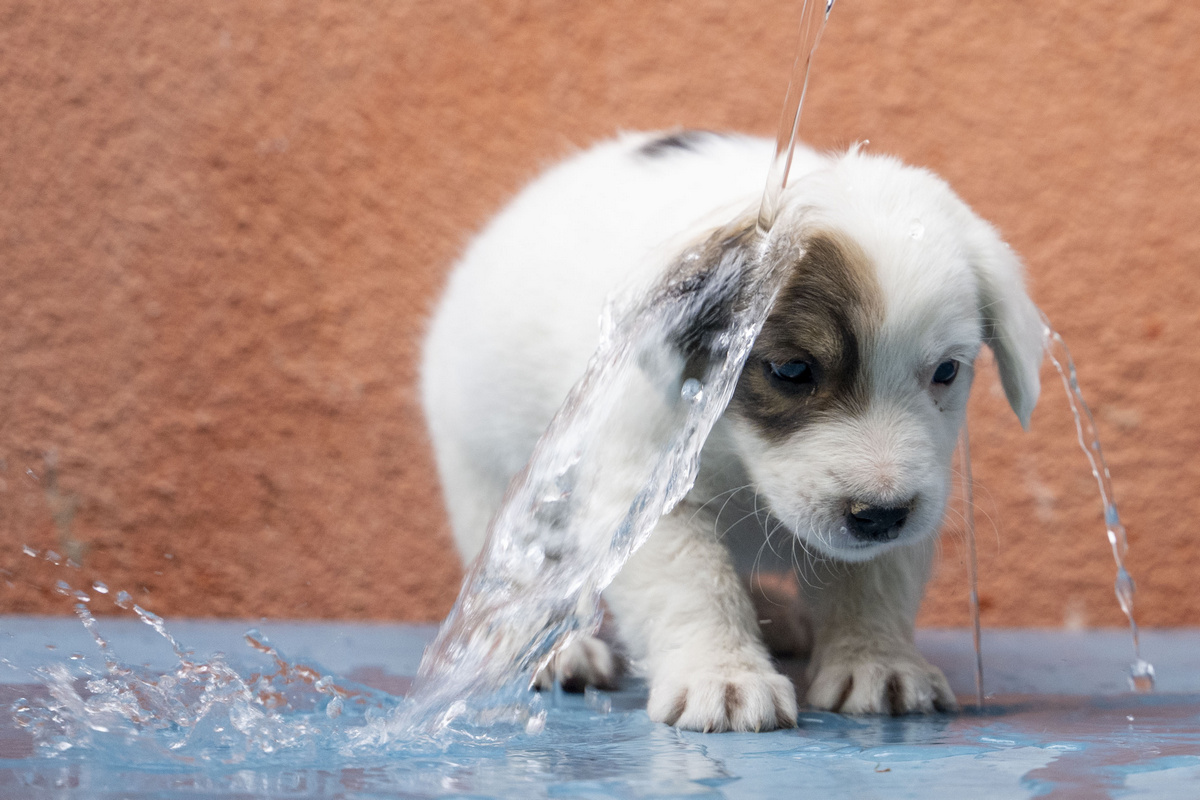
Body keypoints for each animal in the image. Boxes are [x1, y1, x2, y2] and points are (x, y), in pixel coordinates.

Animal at [420, 130, 1041, 734]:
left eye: (947, 371)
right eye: (791, 370)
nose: (882, 516)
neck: (737, 455)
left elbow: (871, 583)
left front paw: (877, 661)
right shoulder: (643, 496)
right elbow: (695, 586)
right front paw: (722, 674)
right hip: (490, 479)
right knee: (517, 582)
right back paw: (540, 650)